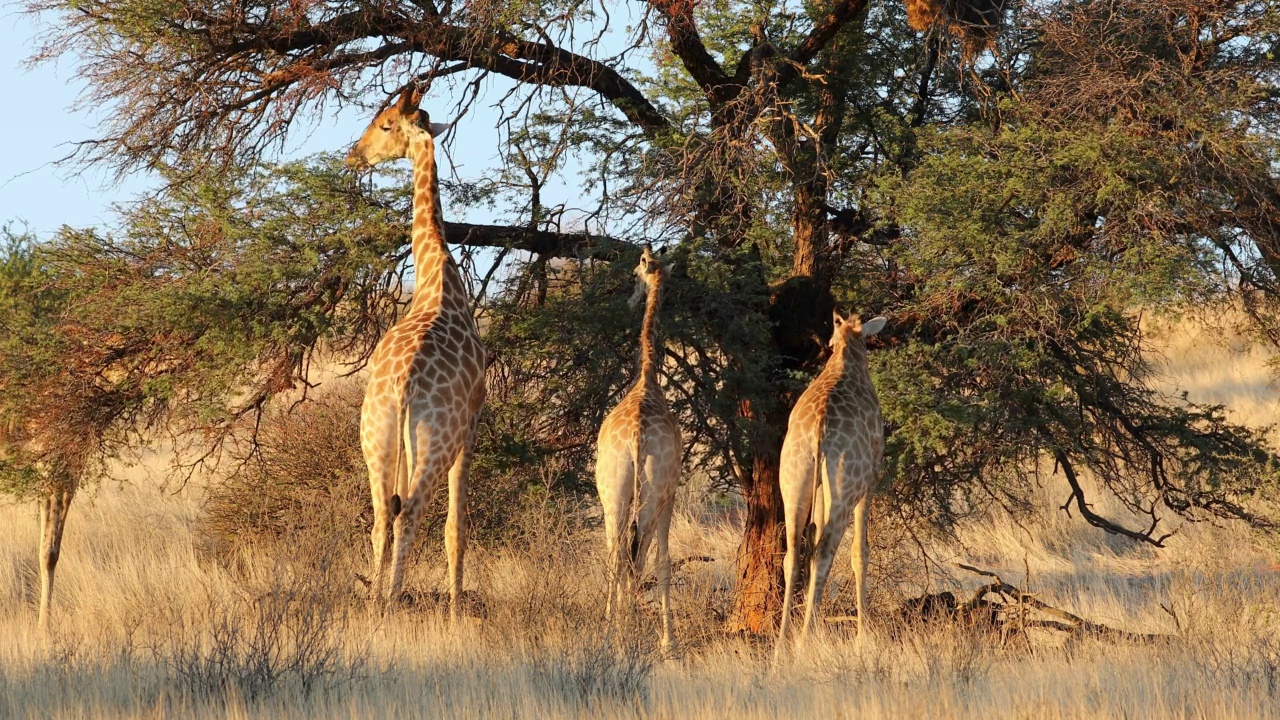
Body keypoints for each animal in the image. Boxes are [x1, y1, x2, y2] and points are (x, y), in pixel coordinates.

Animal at [345, 85, 483, 617]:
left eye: (385, 123)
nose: (354, 153)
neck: (436, 275)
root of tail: (404, 389)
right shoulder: (473, 422)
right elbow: (456, 526)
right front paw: (456, 605)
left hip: (375, 436)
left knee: (383, 516)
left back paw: (375, 603)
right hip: (435, 442)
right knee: (412, 515)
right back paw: (391, 601)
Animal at [768, 308, 890, 661]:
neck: (846, 355)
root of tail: (818, 429)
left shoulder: (821, 489)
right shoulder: (870, 479)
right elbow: (860, 552)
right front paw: (863, 638)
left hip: (794, 479)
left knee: (795, 553)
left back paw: (783, 646)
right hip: (845, 487)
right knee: (824, 551)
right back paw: (804, 641)